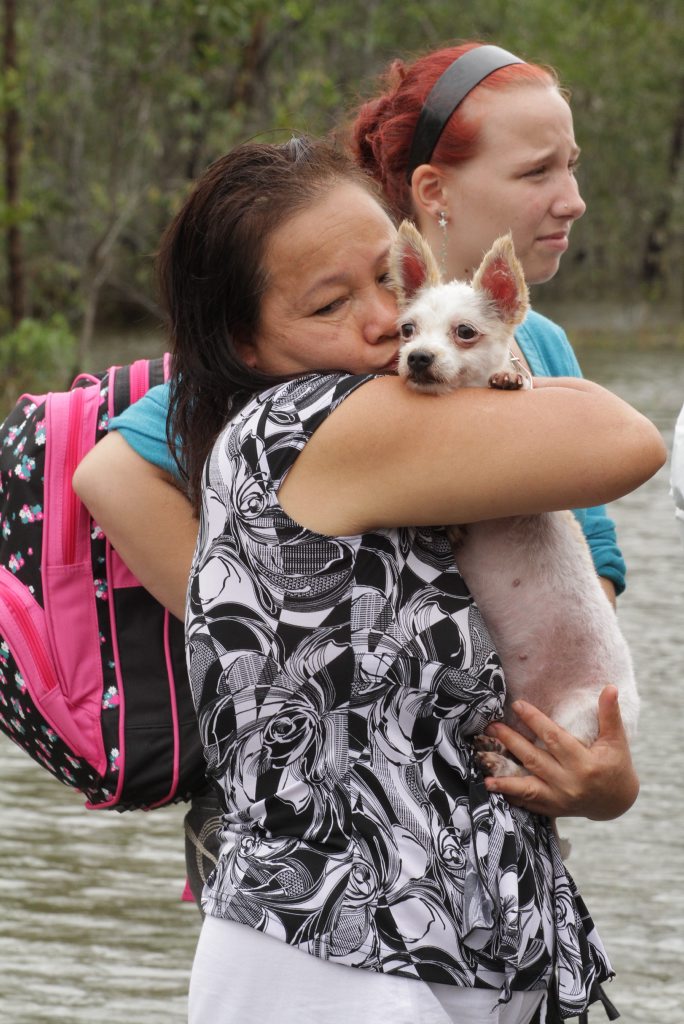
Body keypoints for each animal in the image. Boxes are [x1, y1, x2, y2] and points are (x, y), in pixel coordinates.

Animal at [387, 222, 638, 782]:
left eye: (465, 332)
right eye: (407, 330)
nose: (417, 359)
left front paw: (510, 378)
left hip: (580, 714)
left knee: (541, 764)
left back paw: (503, 764)